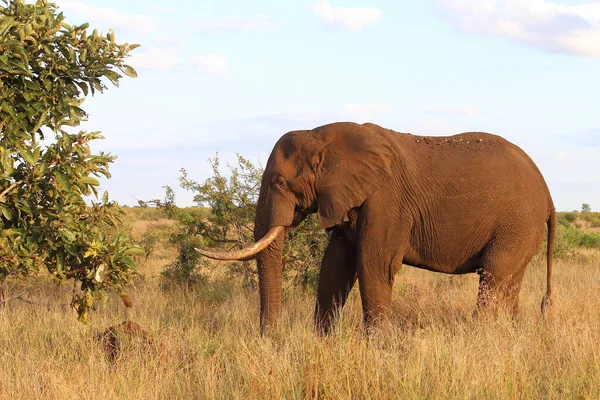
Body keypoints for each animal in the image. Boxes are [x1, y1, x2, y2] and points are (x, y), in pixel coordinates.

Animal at [195, 122, 556, 334]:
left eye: (281, 183)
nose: (270, 341)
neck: (324, 135)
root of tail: (549, 196)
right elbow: (335, 266)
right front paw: (322, 342)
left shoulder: (387, 199)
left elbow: (373, 264)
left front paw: (379, 350)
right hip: (522, 229)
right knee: (508, 282)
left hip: (517, 223)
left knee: (493, 277)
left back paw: (481, 338)